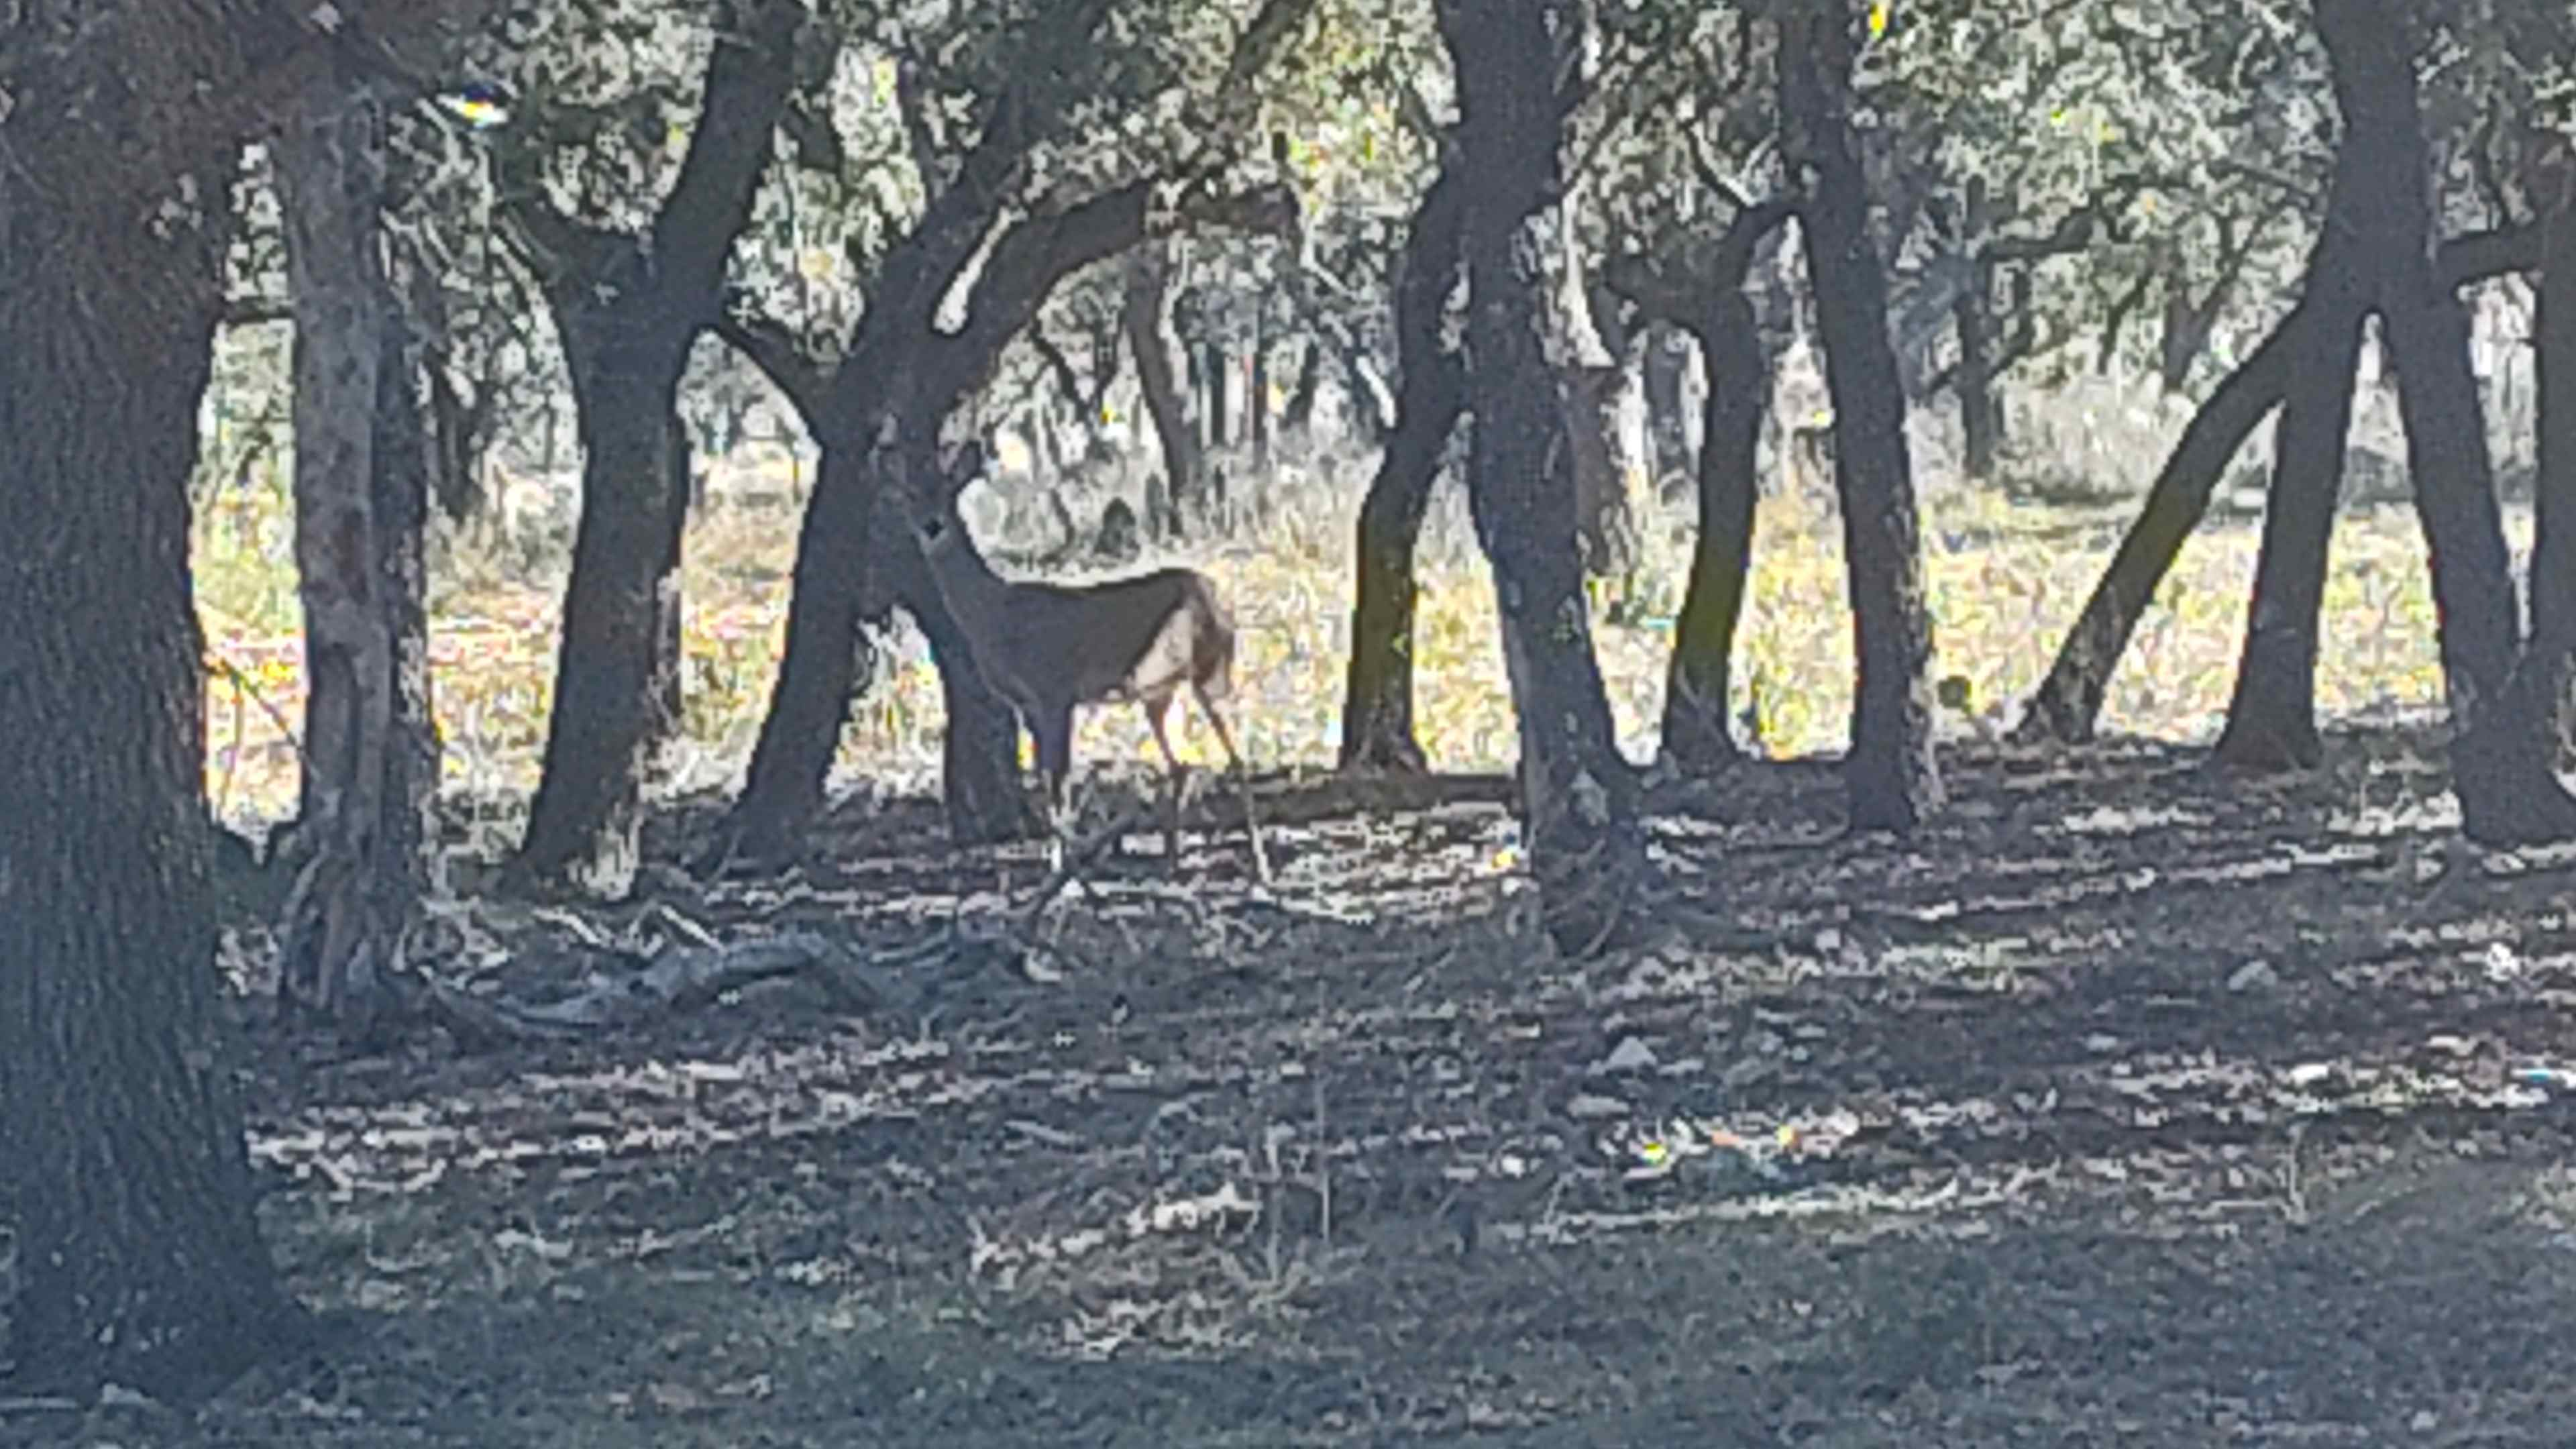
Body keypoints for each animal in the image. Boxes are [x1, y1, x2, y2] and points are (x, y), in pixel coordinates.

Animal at [882, 421, 1272, 885]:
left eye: (948, 493)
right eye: (909, 496)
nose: (932, 525)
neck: (998, 614)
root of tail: (1219, 603)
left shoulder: (1055, 691)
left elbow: (1060, 780)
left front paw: (1062, 866)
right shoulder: (1030, 704)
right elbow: (1046, 777)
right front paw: (1059, 862)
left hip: (1209, 672)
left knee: (1237, 758)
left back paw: (1260, 867)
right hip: (1162, 691)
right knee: (1182, 763)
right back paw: (1171, 864)